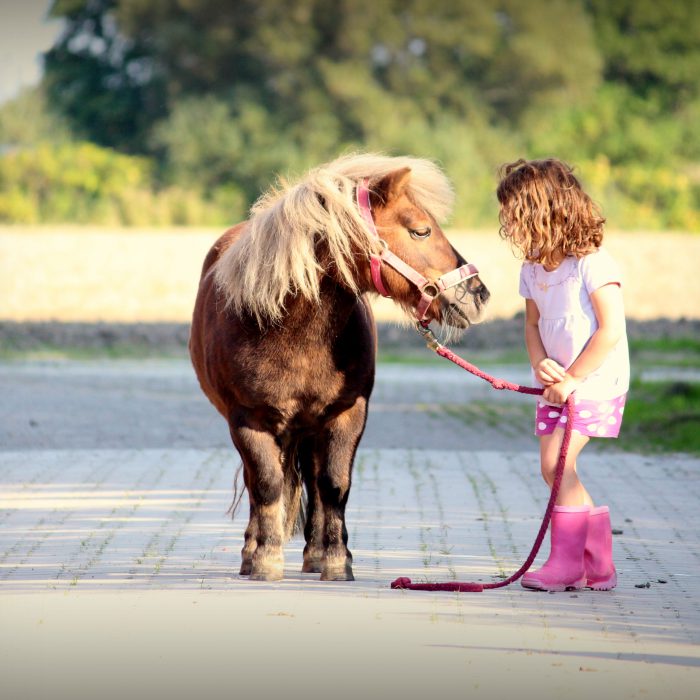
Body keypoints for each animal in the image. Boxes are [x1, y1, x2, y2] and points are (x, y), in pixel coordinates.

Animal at [189, 156, 490, 584]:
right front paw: (265, 559)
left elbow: (334, 484)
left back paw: (314, 554)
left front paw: (335, 560)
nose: (479, 295)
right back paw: (250, 552)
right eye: (421, 230)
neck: (289, 329)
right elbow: (266, 484)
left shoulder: (347, 414)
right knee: (259, 482)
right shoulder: (248, 420)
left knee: (315, 482)